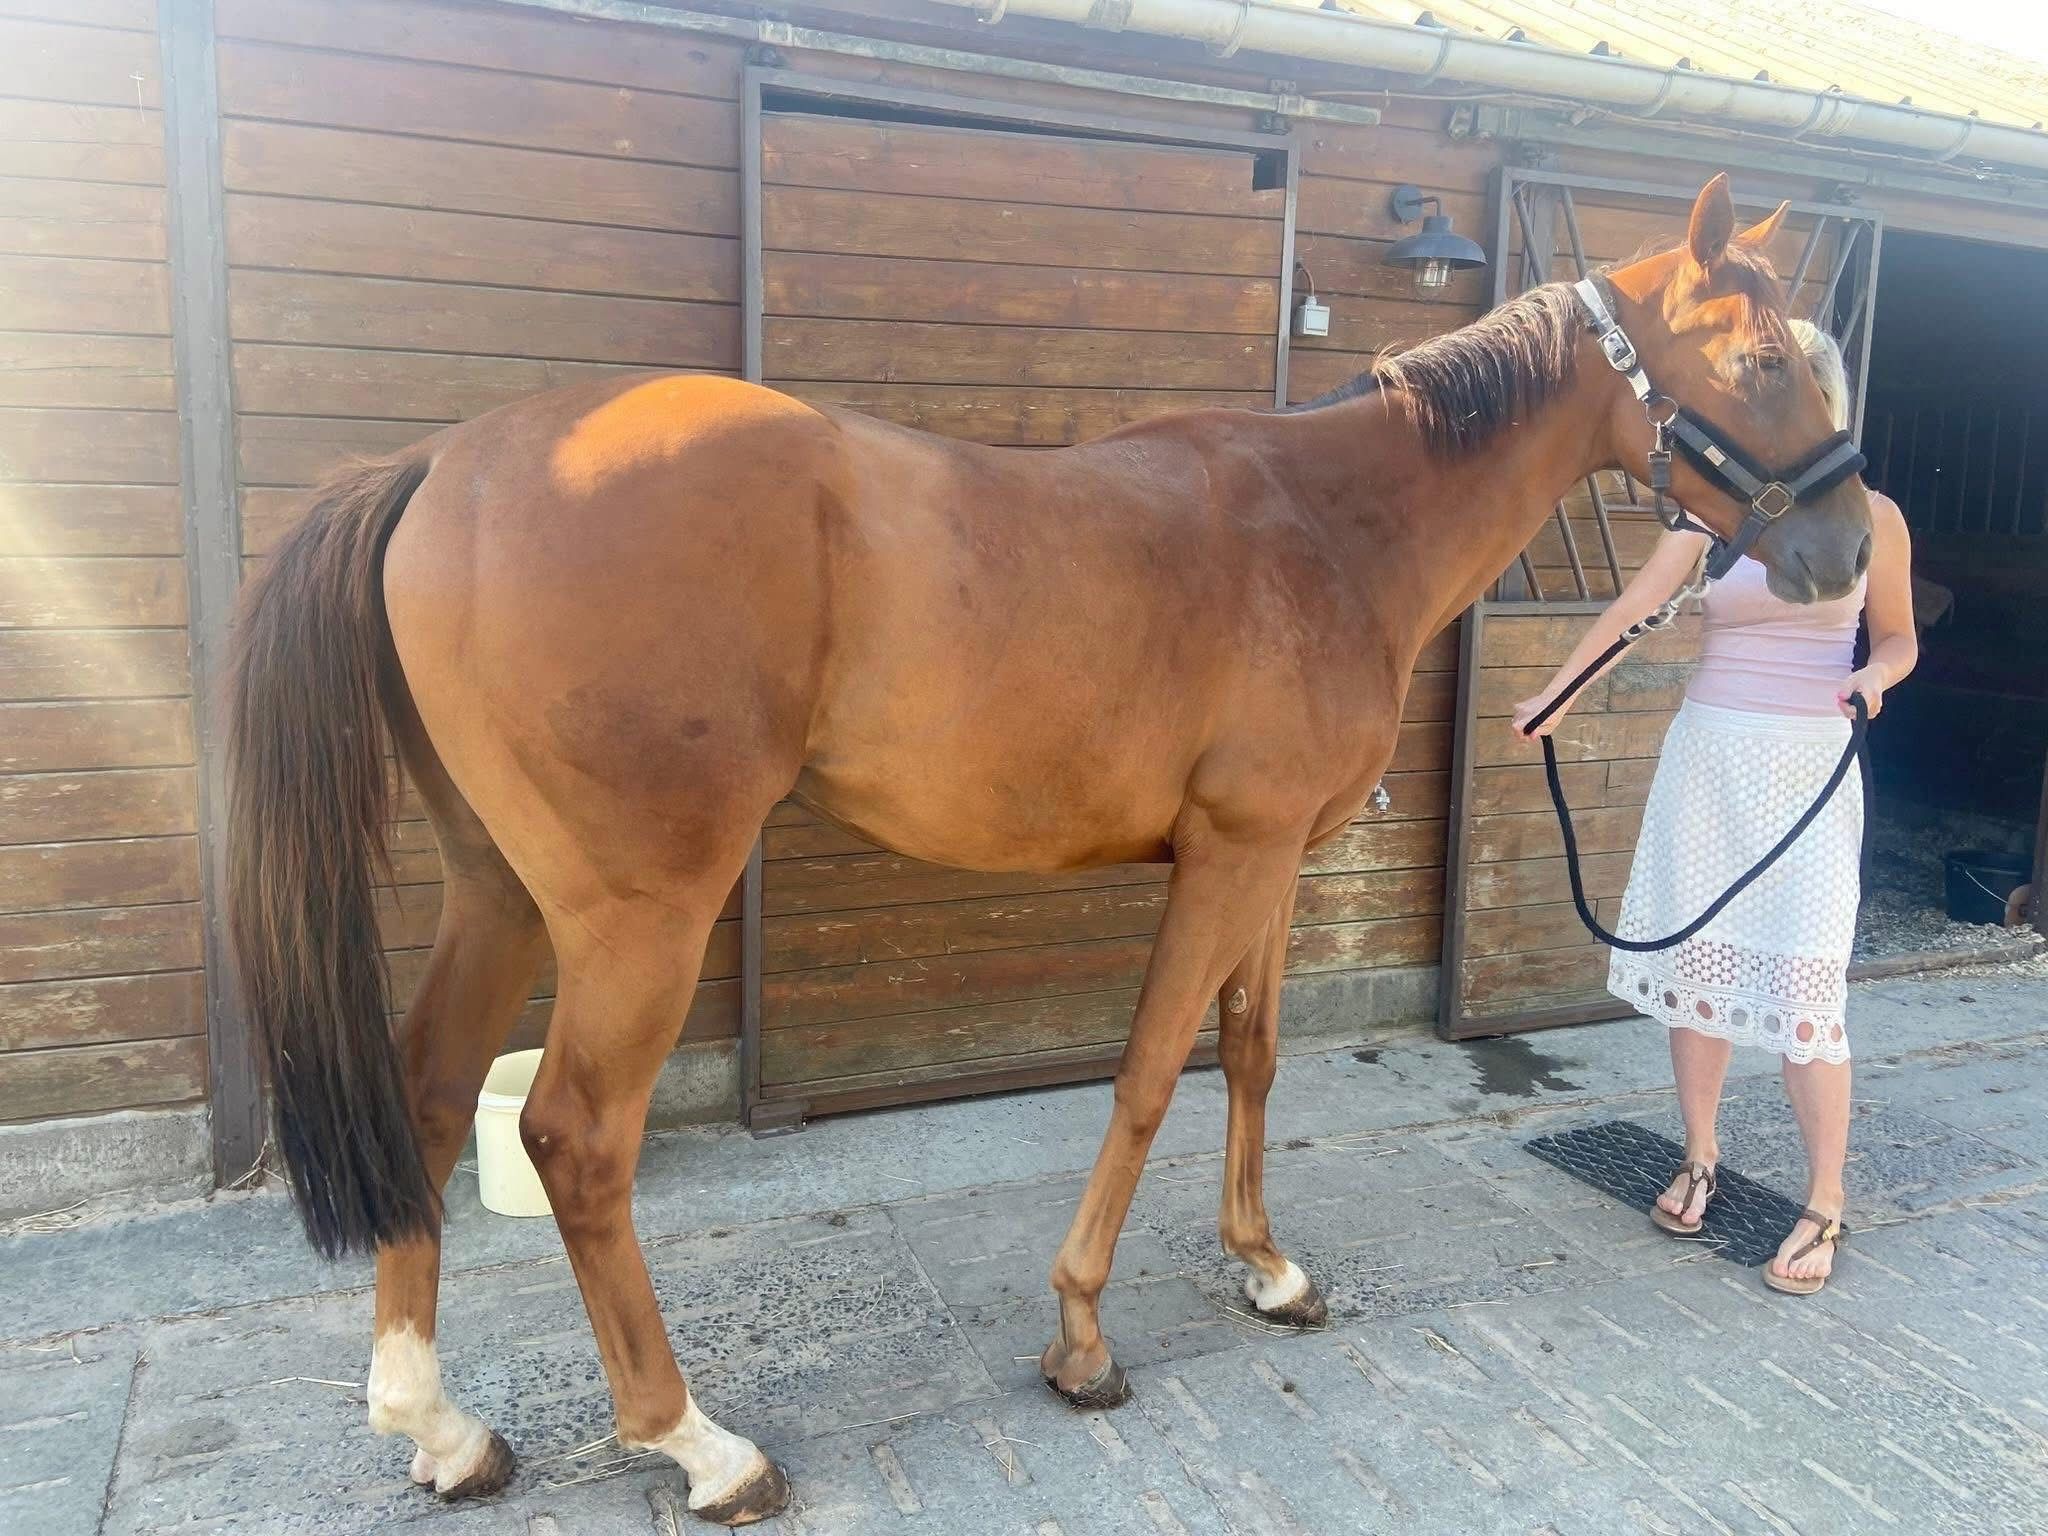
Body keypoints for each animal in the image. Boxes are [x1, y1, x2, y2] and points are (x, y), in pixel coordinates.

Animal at [225, 175, 1869, 1524]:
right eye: (1762, 362)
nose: (1849, 554)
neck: (1328, 524)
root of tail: (446, 463)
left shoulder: (1271, 862)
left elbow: (1250, 1053)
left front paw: (1266, 1267)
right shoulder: (1229, 858)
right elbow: (1147, 1075)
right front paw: (1081, 1333)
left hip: (498, 890)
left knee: (429, 1092)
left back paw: (437, 1427)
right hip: (639, 910)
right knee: (574, 1138)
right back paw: (697, 1446)